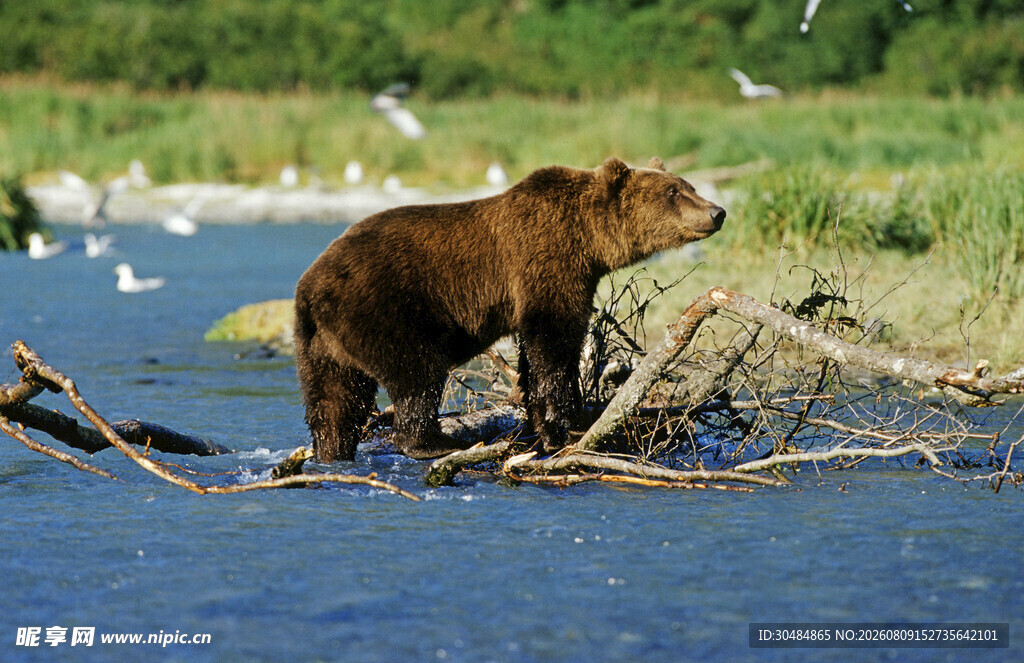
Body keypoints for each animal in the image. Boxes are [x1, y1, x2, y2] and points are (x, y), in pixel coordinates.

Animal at [294, 157, 725, 463]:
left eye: (687, 185)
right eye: (673, 192)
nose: (717, 211)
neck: (588, 242)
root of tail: (309, 288)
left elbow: (532, 355)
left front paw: (543, 423)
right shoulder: (546, 261)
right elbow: (554, 343)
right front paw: (566, 425)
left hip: (323, 344)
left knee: (335, 399)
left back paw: (333, 450)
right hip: (385, 308)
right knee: (417, 372)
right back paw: (432, 442)